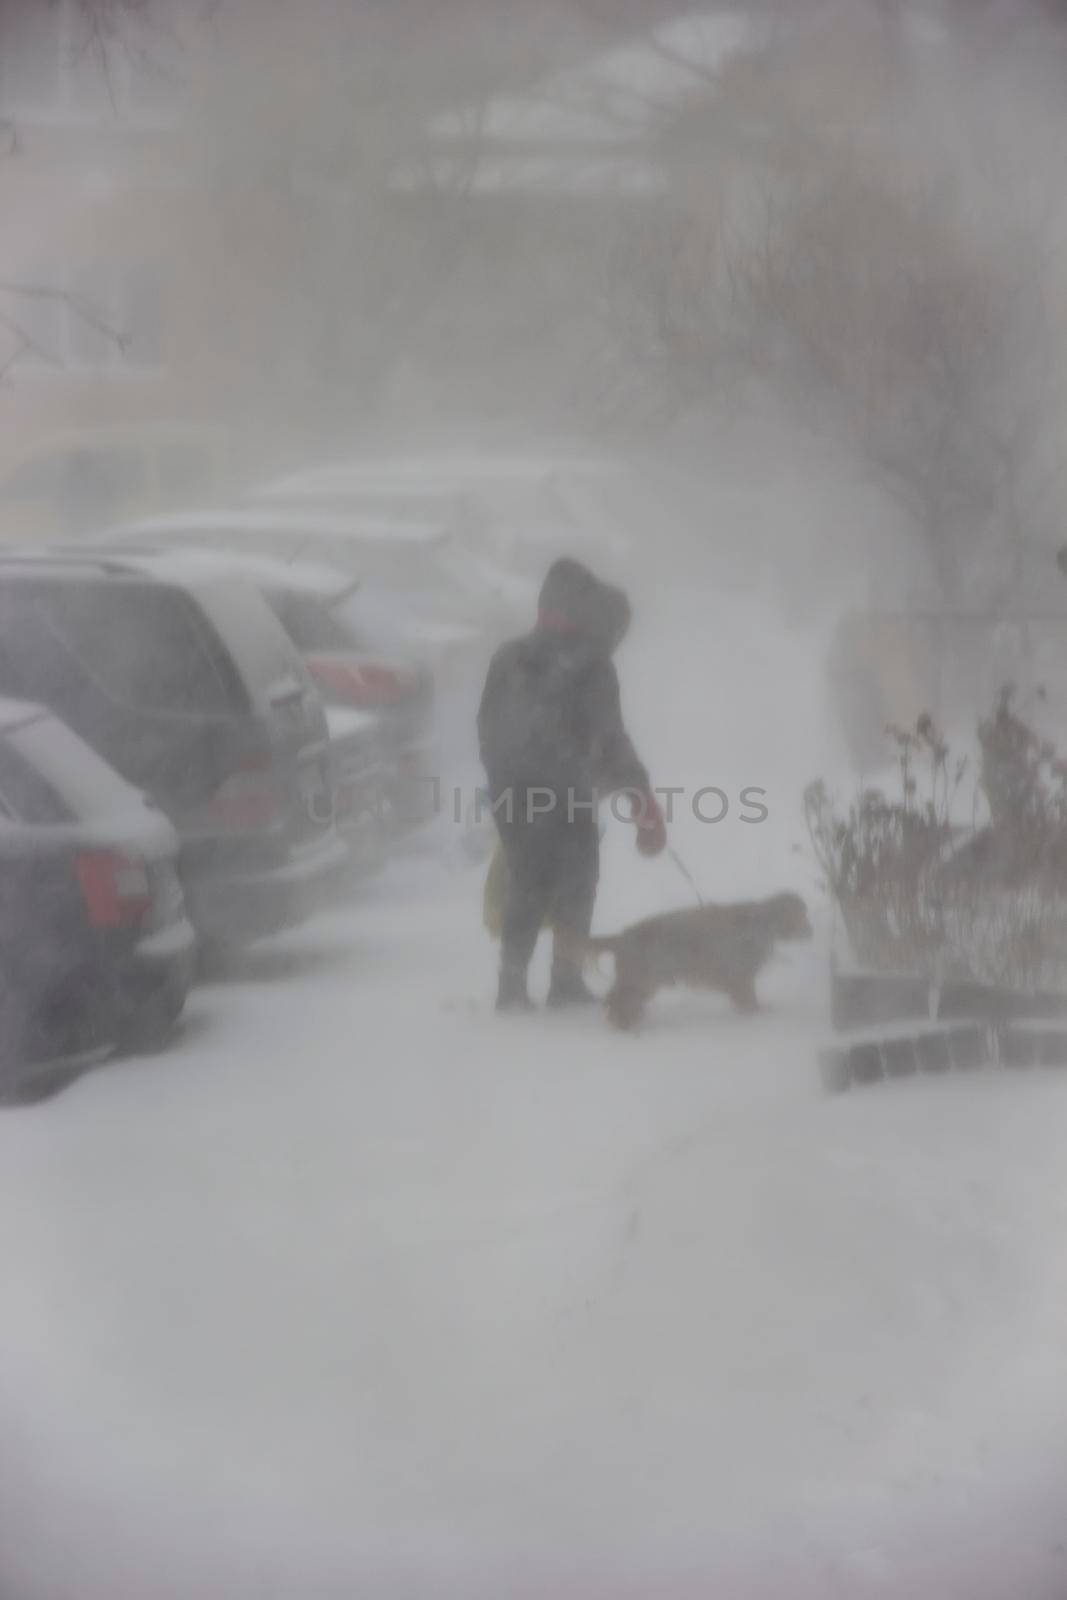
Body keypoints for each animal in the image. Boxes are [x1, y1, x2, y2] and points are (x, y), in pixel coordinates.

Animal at [566, 896, 809, 1030]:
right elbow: (749, 1000)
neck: (761, 923)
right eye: (801, 916)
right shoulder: (740, 975)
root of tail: (623, 936)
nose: (811, 931)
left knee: (615, 1000)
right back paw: (627, 1027)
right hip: (643, 980)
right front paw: (757, 1014)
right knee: (617, 1001)